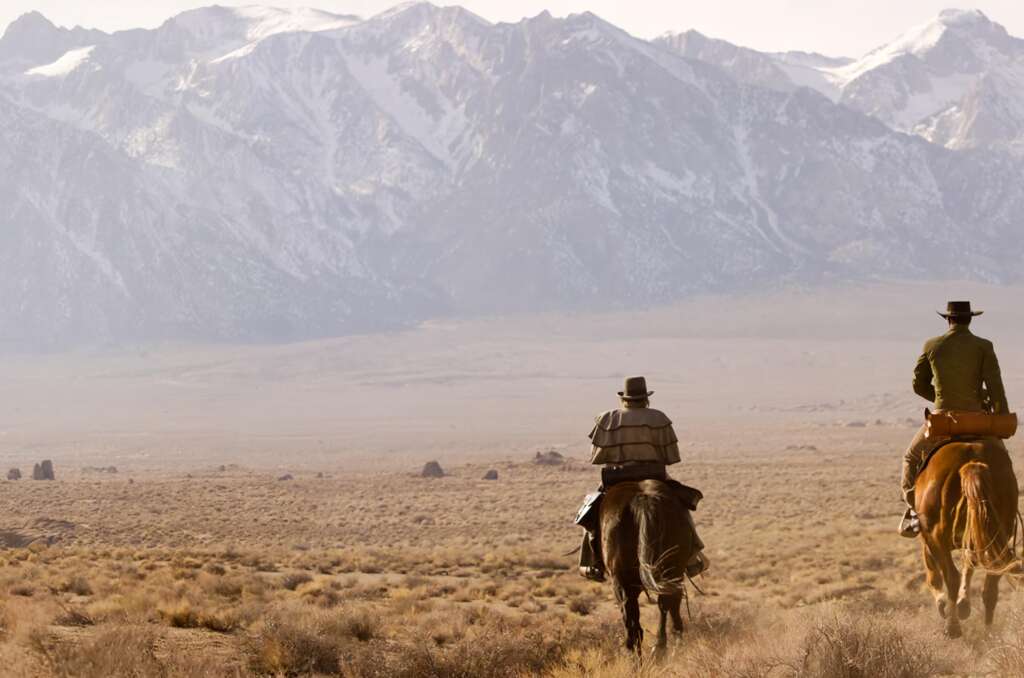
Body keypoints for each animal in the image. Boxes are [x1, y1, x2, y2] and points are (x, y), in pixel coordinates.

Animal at [598, 481, 696, 655]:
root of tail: (643, 500)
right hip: (673, 569)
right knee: (666, 602)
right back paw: (663, 646)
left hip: (621, 579)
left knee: (632, 619)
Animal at [917, 438, 1019, 639]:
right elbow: (969, 564)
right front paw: (963, 604)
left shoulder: (928, 537)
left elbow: (933, 575)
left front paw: (943, 604)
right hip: (997, 535)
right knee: (991, 585)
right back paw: (988, 633)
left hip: (936, 535)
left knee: (951, 576)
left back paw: (952, 627)